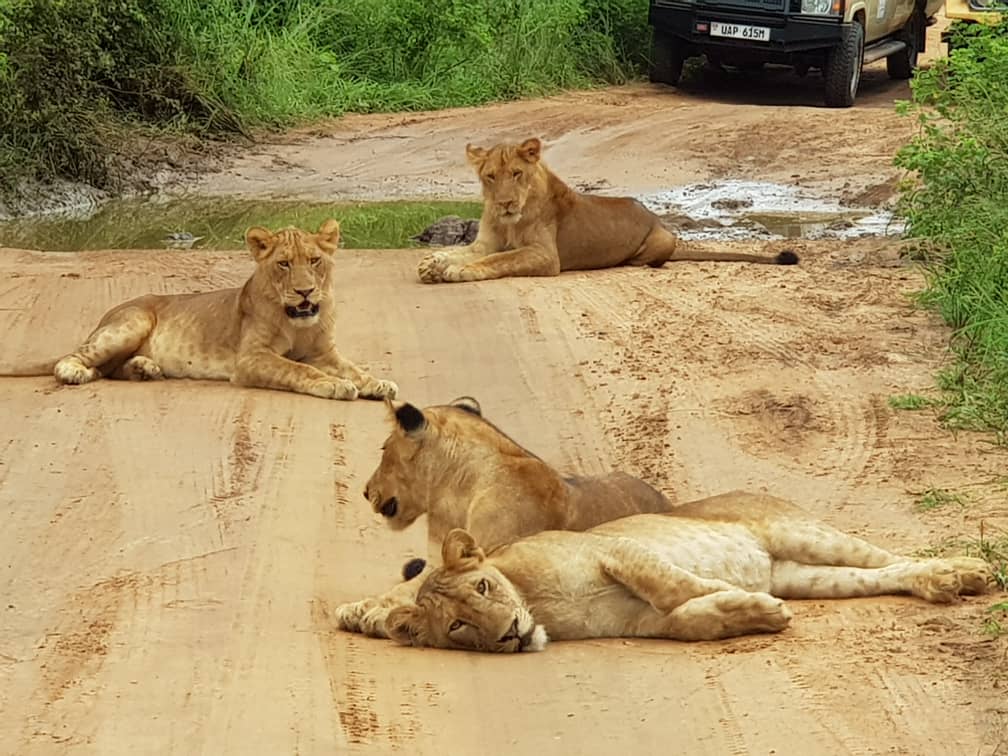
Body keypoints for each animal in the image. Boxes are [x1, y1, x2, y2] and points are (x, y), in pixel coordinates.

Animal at [0, 219, 398, 401]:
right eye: (284, 264)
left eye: (314, 260)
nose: (304, 291)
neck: (297, 322)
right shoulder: (250, 359)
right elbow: (297, 369)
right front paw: (336, 385)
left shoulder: (324, 351)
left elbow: (354, 368)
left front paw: (376, 383)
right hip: (130, 323)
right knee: (74, 358)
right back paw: (77, 373)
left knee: (110, 369)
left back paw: (145, 369)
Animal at [333, 396, 675, 636]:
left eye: (383, 448)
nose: (366, 491)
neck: (453, 496)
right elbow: (402, 588)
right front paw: (362, 609)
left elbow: (410, 591)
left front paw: (368, 614)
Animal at [384, 492, 995, 652]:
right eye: (457, 626)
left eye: (484, 586)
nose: (510, 633)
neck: (540, 606)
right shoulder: (637, 623)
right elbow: (690, 621)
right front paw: (752, 611)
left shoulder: (617, 550)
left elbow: (673, 585)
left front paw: (734, 594)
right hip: (806, 574)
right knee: (882, 577)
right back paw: (943, 583)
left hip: (799, 532)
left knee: (890, 556)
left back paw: (964, 572)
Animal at [416, 137, 798, 284]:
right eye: (491, 176)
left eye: (516, 174)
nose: (505, 203)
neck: (510, 220)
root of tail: (653, 215)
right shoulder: (486, 242)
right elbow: (466, 251)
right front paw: (433, 263)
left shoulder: (545, 256)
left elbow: (500, 260)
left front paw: (455, 271)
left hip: (664, 239)